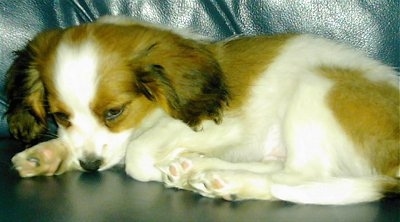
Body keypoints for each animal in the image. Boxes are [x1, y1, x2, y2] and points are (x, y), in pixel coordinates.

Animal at [5, 16, 396, 205]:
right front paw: (49, 154)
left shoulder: (222, 125)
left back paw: (220, 178)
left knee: (300, 178)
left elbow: (135, 154)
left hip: (317, 87)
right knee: (286, 172)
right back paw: (203, 169)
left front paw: (157, 170)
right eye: (60, 117)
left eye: (114, 112)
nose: (89, 166)